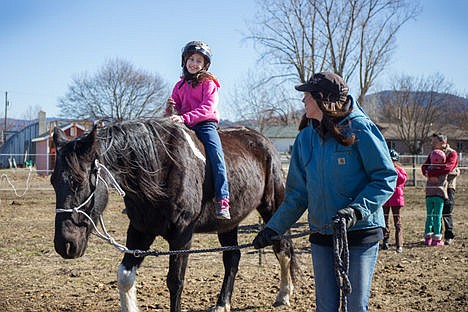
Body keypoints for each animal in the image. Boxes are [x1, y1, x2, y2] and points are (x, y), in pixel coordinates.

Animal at [52, 118, 300, 310]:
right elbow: (124, 276)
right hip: (228, 223)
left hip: (273, 207)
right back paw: (222, 304)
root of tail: (264, 143)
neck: (159, 169)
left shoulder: (182, 235)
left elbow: (175, 281)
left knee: (283, 248)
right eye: (53, 181)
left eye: (78, 182)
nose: (65, 244)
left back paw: (283, 295)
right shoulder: (140, 230)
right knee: (232, 258)